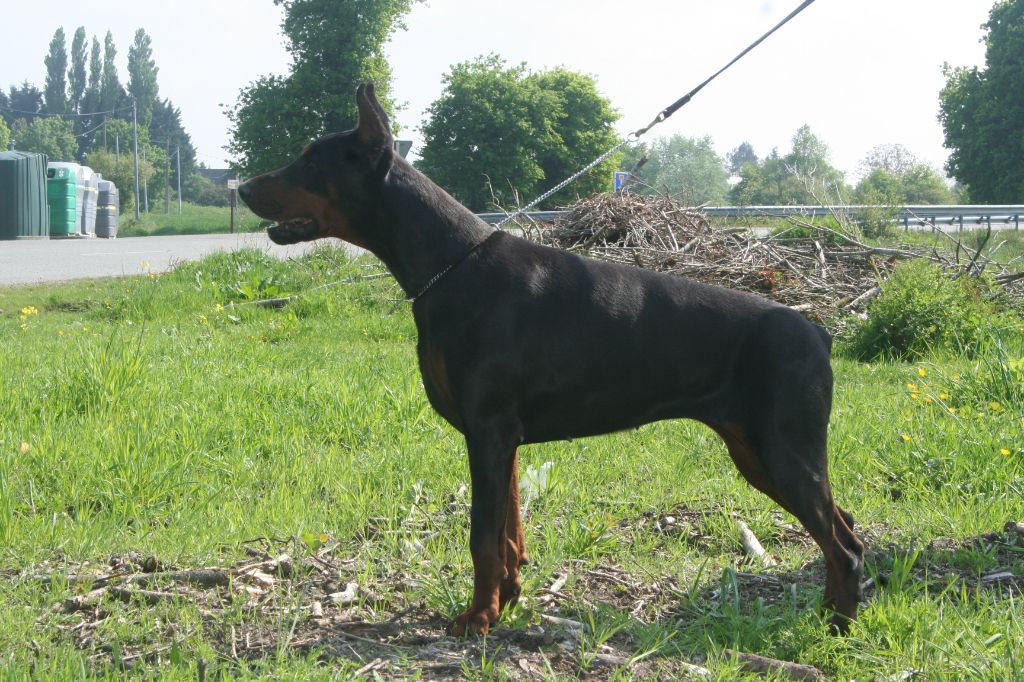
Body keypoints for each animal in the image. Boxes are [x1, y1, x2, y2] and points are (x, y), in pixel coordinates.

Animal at [239, 83, 864, 630]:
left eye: (308, 162)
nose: (241, 189)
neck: (450, 264)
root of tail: (817, 331)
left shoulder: (488, 429)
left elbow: (481, 534)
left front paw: (478, 619)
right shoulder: (503, 438)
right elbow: (509, 532)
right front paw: (508, 599)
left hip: (783, 450)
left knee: (845, 544)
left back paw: (837, 626)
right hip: (756, 451)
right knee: (845, 527)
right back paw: (829, 613)